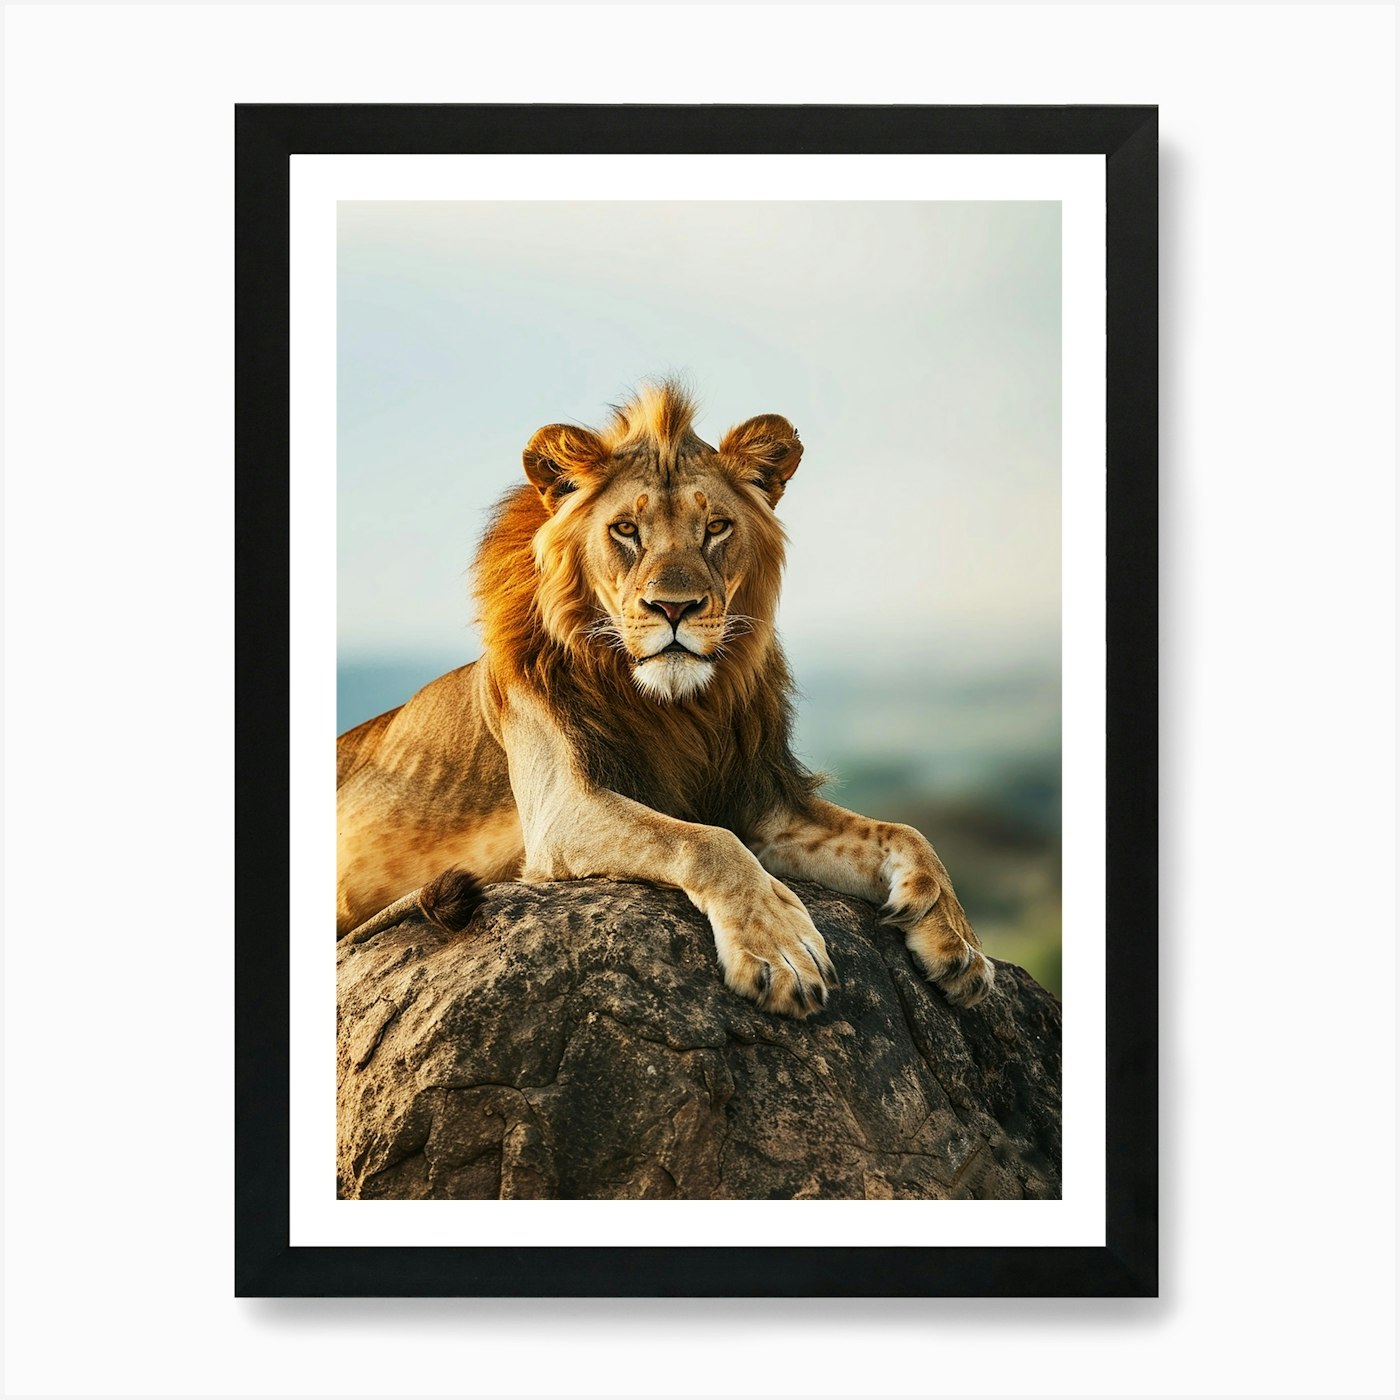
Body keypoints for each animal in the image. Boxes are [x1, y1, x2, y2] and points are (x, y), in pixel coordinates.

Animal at [336, 381, 994, 1018]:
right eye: (626, 530)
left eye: (716, 528)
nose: (674, 609)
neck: (678, 709)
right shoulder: (561, 807)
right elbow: (704, 841)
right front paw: (780, 951)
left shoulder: (760, 802)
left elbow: (907, 833)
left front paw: (958, 941)